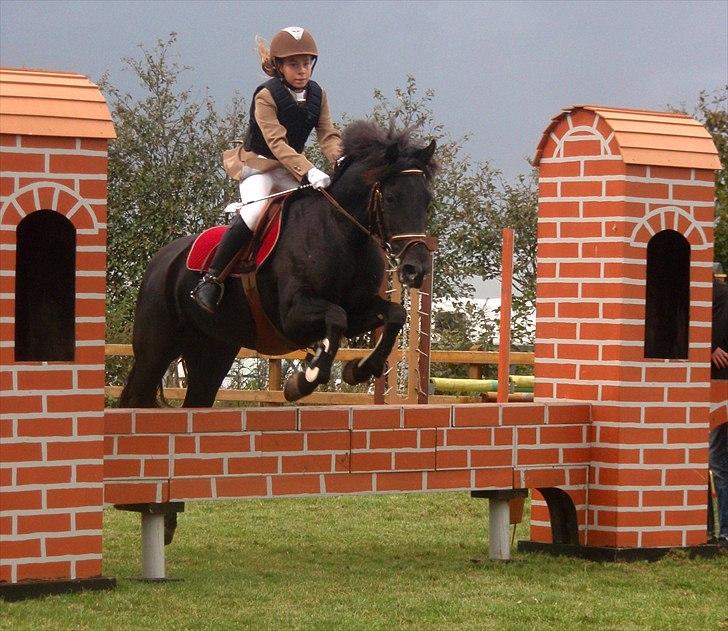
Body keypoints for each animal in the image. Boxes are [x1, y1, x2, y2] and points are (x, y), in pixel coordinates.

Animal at [120, 120, 438, 408]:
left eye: (427, 200)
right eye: (392, 198)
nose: (416, 269)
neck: (340, 233)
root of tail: (161, 260)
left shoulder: (358, 307)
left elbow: (394, 314)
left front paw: (359, 369)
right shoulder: (292, 315)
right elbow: (335, 317)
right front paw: (305, 379)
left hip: (213, 350)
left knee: (198, 397)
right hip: (156, 349)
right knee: (137, 396)